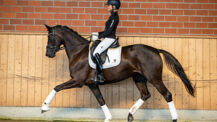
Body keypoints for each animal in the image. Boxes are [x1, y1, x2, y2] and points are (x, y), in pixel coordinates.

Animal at [41, 24, 195, 121]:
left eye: (50, 36)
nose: (48, 54)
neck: (79, 52)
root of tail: (156, 50)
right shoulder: (92, 84)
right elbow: (101, 100)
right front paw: (108, 118)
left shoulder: (77, 81)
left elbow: (56, 87)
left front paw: (44, 107)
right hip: (138, 78)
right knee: (145, 95)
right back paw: (130, 115)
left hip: (154, 79)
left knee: (167, 95)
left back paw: (174, 118)